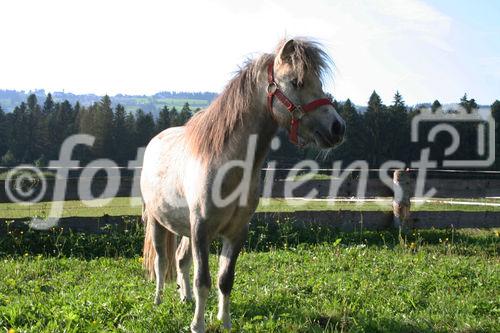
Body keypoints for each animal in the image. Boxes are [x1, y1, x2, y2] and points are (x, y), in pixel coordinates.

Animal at [141, 37, 344, 330]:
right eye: (297, 82)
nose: (337, 128)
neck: (226, 164)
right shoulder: (201, 229)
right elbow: (203, 281)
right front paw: (197, 326)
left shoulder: (236, 232)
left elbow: (225, 280)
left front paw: (224, 322)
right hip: (157, 222)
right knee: (161, 262)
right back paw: (158, 301)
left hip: (184, 227)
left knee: (181, 260)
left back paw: (185, 299)